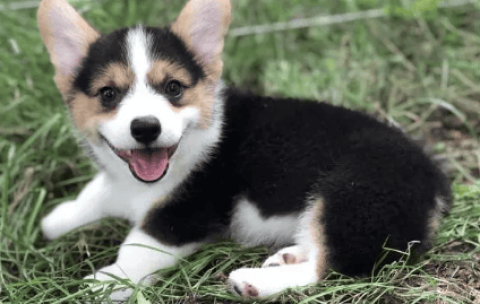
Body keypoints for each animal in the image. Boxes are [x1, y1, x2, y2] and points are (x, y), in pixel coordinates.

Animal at [36, 0, 450, 300]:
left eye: (173, 88)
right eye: (108, 94)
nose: (146, 128)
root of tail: (434, 180)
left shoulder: (184, 213)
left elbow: (138, 246)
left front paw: (106, 281)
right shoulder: (119, 182)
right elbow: (95, 194)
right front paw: (57, 220)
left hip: (352, 193)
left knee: (330, 268)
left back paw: (253, 282)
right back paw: (288, 255)